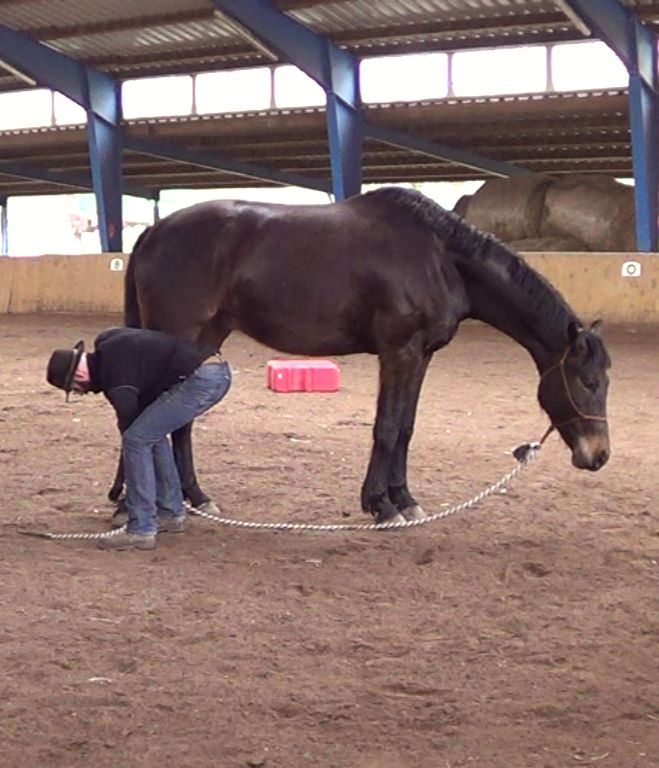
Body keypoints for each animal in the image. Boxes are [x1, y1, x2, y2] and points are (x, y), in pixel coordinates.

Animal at [114, 186, 612, 520]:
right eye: (588, 382)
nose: (599, 456)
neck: (439, 258)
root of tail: (154, 231)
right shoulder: (398, 352)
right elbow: (386, 428)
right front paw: (380, 504)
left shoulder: (421, 356)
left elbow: (406, 428)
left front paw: (404, 499)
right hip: (177, 334)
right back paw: (136, 504)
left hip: (203, 339)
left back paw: (192, 497)